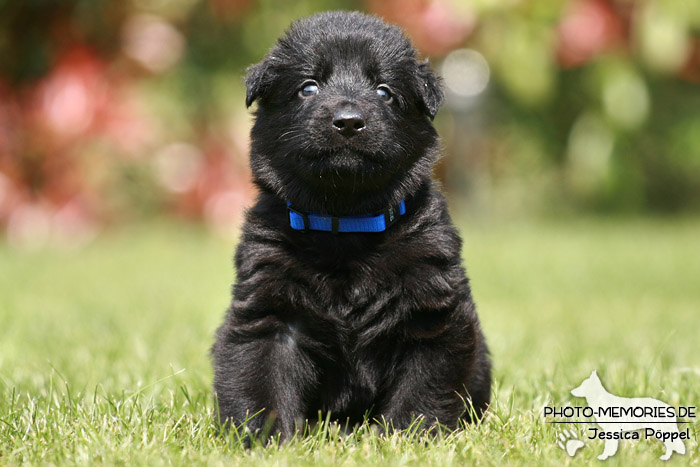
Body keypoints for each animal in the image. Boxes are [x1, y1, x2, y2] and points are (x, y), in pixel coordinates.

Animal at [213, 11, 492, 442]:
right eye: (308, 87)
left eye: (384, 92)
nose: (348, 122)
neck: (345, 226)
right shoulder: (268, 311)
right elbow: (260, 379)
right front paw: (264, 439)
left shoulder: (433, 312)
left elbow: (424, 388)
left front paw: (409, 438)